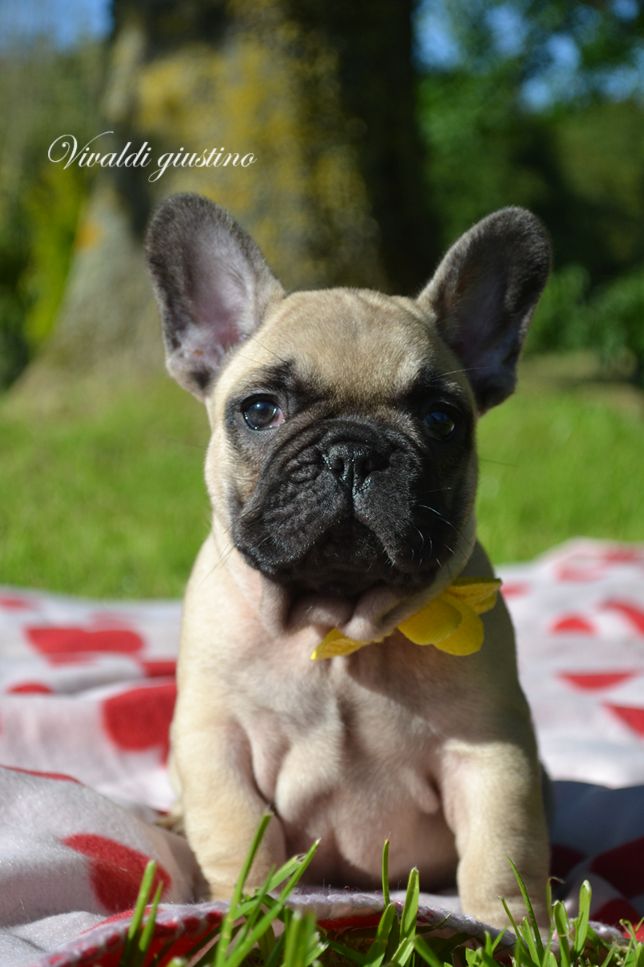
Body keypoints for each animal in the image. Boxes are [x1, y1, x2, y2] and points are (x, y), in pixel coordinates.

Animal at [145, 193, 551, 928]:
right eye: (260, 409)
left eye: (443, 419)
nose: (353, 452)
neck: (336, 621)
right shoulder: (216, 739)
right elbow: (238, 830)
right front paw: (242, 915)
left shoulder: (491, 751)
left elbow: (501, 844)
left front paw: (513, 928)